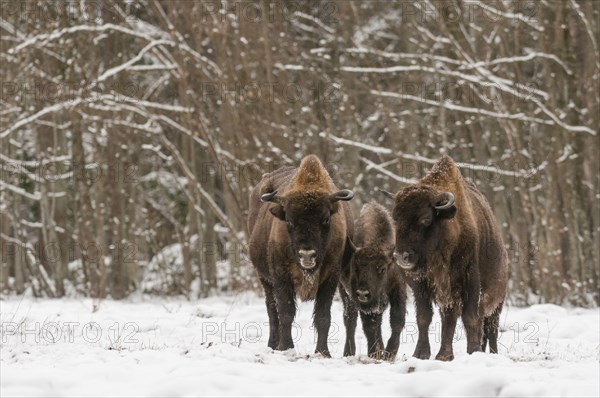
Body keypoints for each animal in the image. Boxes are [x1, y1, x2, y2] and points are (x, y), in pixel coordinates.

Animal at [246, 154, 354, 356]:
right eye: (289, 220)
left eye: (325, 219)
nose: (307, 255)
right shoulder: (280, 277)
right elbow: (285, 312)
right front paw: (285, 347)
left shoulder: (331, 278)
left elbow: (323, 316)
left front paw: (323, 352)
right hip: (264, 278)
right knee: (271, 309)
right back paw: (272, 344)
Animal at [342, 201, 408, 360]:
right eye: (355, 267)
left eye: (382, 269)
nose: (363, 293)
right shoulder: (363, 303)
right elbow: (370, 327)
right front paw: (375, 354)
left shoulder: (398, 289)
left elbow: (397, 319)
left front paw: (390, 352)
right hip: (345, 293)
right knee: (350, 320)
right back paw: (348, 352)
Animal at [380, 155, 506, 360]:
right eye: (395, 218)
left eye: (425, 219)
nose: (401, 256)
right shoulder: (421, 285)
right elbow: (425, 317)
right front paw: (422, 354)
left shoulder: (469, 279)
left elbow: (470, 317)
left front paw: (470, 351)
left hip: (497, 299)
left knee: (490, 326)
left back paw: (491, 353)